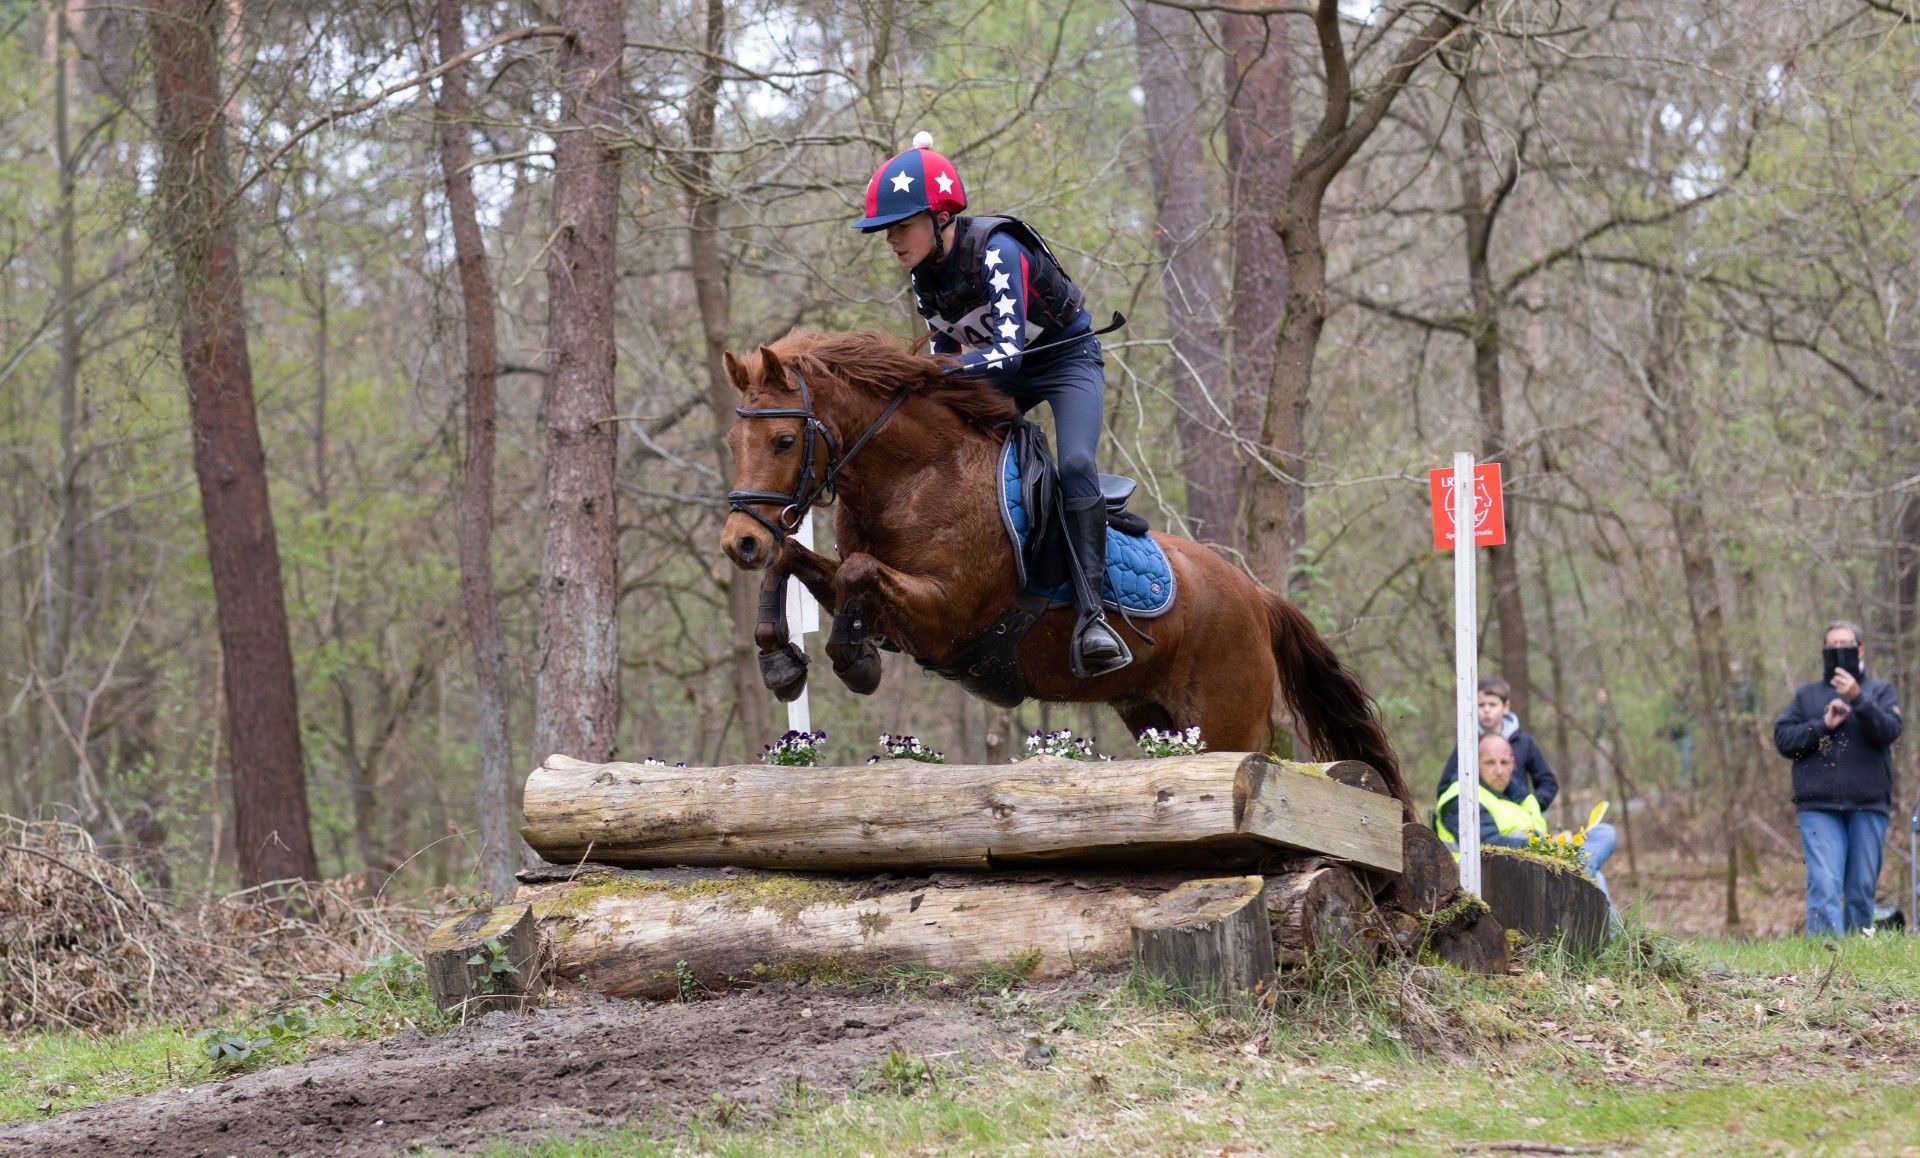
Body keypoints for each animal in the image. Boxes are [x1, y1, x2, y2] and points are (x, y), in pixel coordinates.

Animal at [718, 329, 1414, 815]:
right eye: (733, 443)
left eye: (784, 442)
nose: (738, 542)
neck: (917, 476)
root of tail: (1257, 596)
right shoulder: (883, 602)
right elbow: (798, 560)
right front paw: (781, 660)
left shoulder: (947, 615)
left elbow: (858, 571)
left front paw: (851, 658)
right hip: (1157, 715)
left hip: (1225, 718)